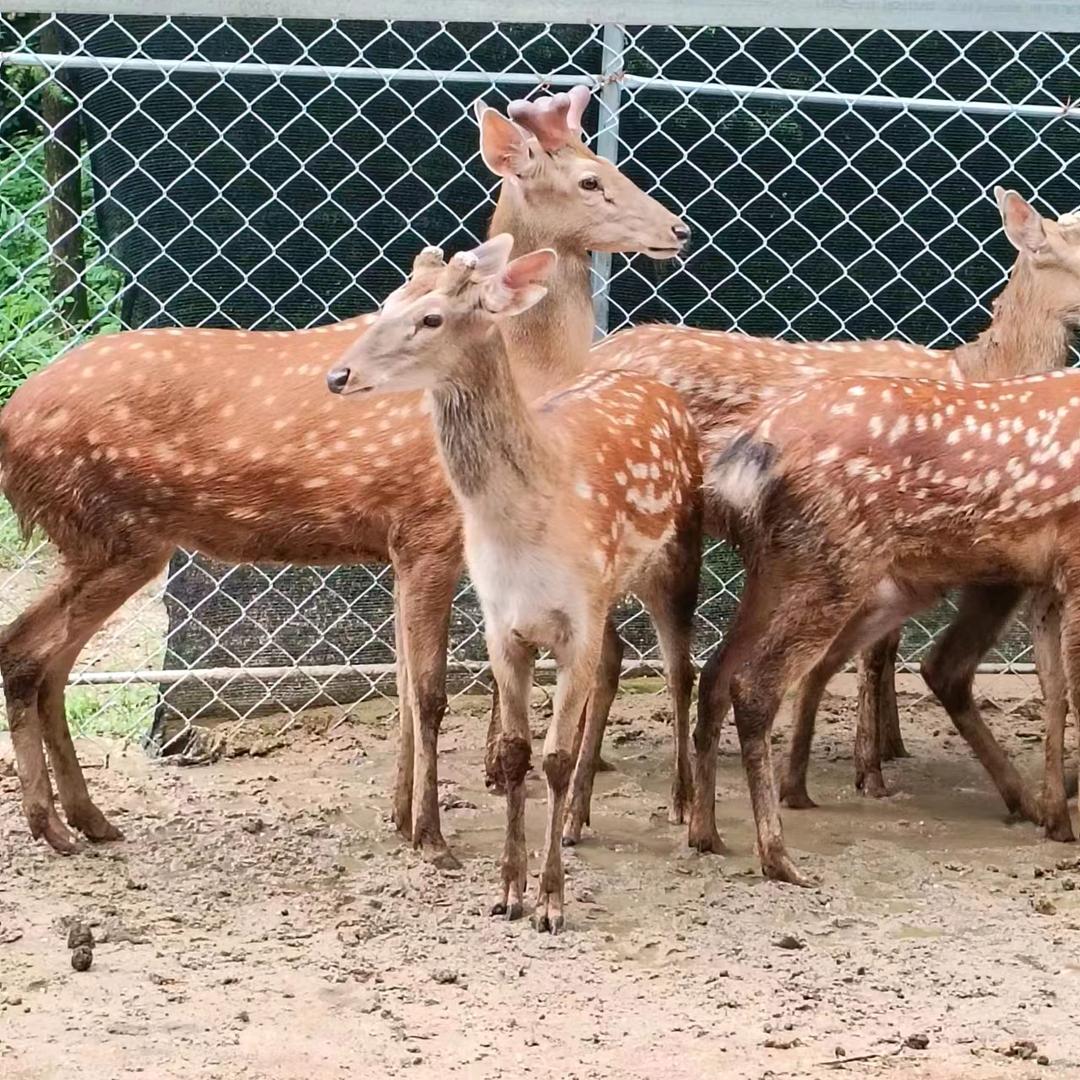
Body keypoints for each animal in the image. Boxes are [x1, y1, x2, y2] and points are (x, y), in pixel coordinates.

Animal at [0, 86, 690, 860]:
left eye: (604, 161)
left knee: (46, 661)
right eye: (590, 180)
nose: (679, 228)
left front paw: (399, 816)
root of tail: (9, 427)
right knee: (24, 652)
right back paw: (54, 826)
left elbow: (405, 685)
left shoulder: (399, 543)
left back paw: (89, 819)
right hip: (108, 531)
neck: (529, 376)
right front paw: (430, 835)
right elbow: (428, 692)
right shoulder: (428, 530)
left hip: (109, 542)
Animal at [326, 235, 702, 932]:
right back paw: (579, 816)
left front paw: (551, 903)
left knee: (679, 671)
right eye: (388, 302)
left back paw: (686, 810)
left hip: (677, 556)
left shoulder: (576, 618)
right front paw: (507, 890)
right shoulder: (503, 623)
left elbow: (552, 757)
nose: (338, 375)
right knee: (616, 662)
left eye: (432, 318)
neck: (524, 530)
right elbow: (514, 754)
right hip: (610, 593)